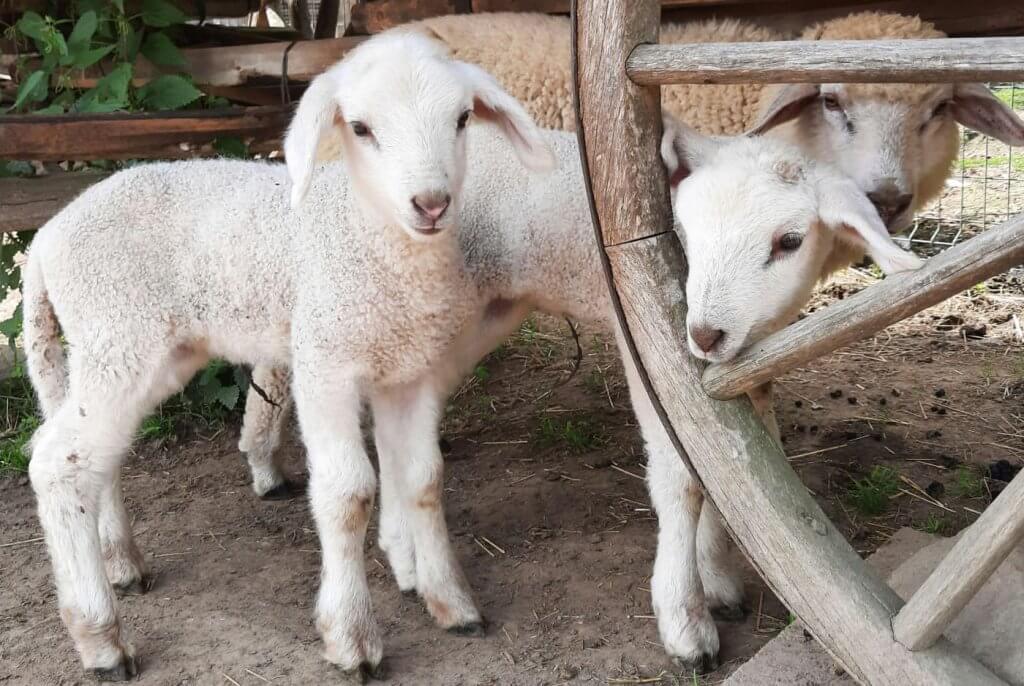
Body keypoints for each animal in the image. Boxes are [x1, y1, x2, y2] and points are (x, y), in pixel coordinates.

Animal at [23, 31, 555, 681]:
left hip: (135, 351)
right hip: (118, 334)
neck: (369, 237)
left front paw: (452, 605)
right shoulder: (324, 362)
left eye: (461, 119)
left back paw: (121, 562)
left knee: (94, 458)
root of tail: (46, 238)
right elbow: (349, 494)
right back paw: (100, 638)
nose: (431, 204)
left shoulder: (409, 371)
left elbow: (423, 479)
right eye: (361, 128)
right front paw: (353, 638)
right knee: (58, 464)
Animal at [239, 112, 922, 671]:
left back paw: (406, 559)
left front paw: (719, 575)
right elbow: (686, 476)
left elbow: (739, 464)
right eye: (685, 231)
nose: (704, 332)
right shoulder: (647, 345)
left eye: (789, 241)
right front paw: (687, 620)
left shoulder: (746, 362)